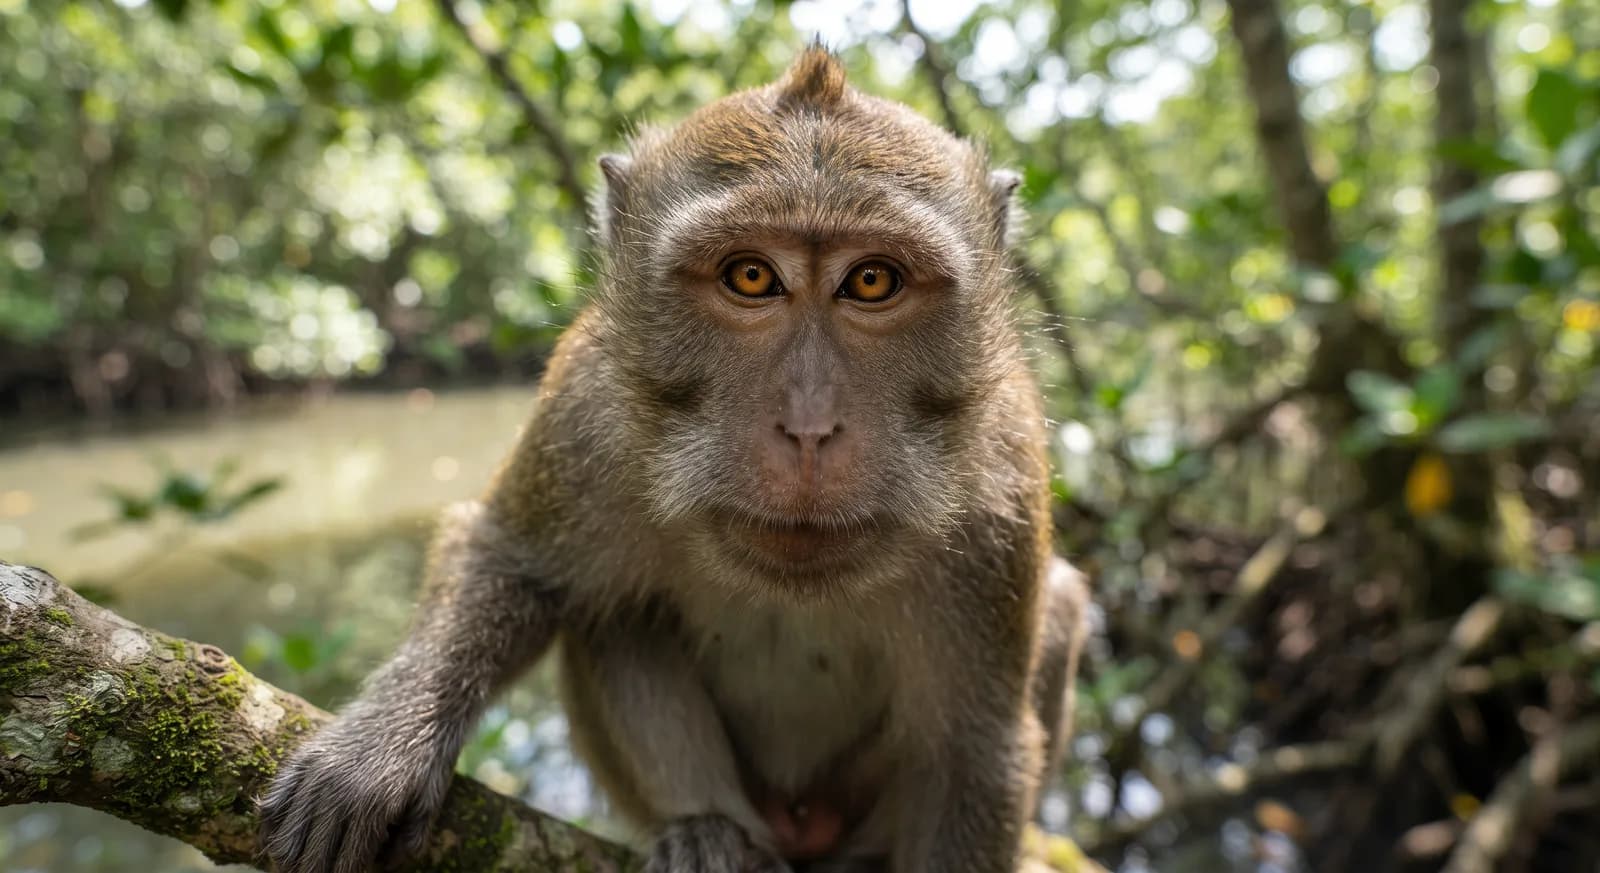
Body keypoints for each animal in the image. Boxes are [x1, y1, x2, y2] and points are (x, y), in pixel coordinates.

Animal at [258, 46, 1088, 873]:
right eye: (750, 276)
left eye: (872, 280)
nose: (809, 426)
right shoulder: (587, 415)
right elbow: (512, 560)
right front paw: (381, 746)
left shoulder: (999, 488)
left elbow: (971, 752)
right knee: (615, 612)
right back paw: (709, 831)